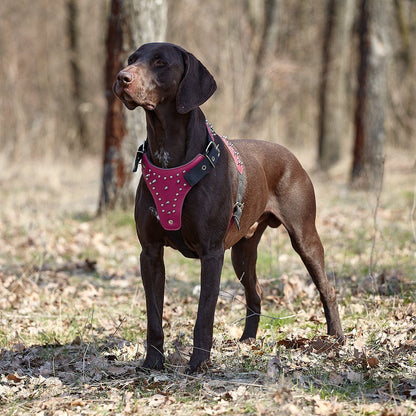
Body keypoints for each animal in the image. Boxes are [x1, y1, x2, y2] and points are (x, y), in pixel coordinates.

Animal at [112, 43, 342, 374]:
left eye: (160, 62)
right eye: (132, 59)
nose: (121, 77)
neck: (169, 151)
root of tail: (291, 156)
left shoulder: (211, 253)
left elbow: (204, 315)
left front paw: (199, 363)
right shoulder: (151, 253)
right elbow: (154, 316)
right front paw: (153, 362)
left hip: (304, 237)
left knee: (327, 288)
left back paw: (336, 338)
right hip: (242, 252)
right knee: (256, 293)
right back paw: (247, 341)